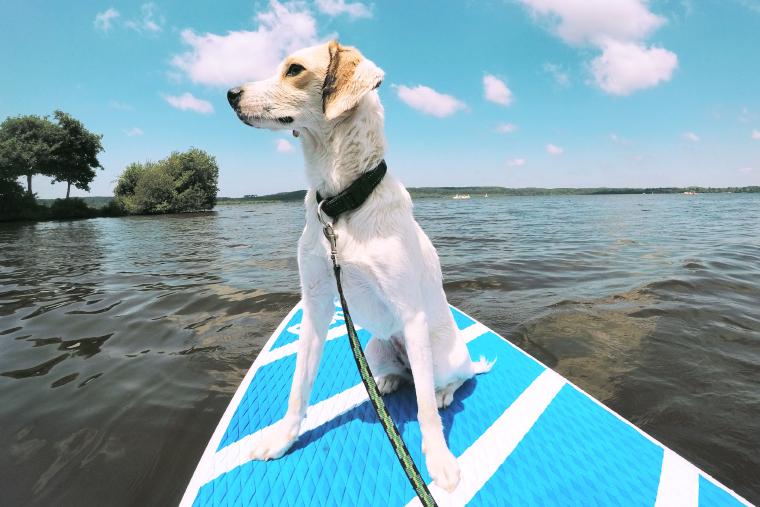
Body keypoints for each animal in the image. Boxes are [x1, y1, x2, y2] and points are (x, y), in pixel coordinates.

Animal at [229, 41, 492, 494]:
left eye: (294, 69)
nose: (230, 94)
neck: (341, 207)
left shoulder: (411, 313)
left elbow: (424, 409)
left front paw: (440, 462)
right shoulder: (317, 302)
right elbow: (298, 388)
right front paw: (281, 441)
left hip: (440, 354)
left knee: (448, 381)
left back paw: (445, 391)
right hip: (373, 346)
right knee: (405, 377)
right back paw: (385, 381)